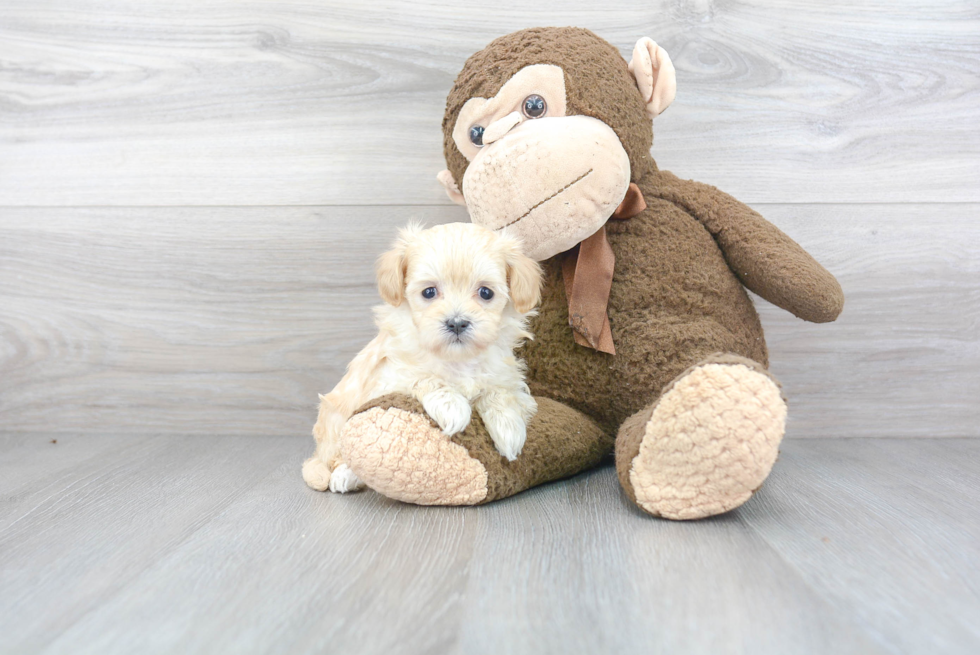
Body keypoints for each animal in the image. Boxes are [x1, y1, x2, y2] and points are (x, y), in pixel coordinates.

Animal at [300, 220, 540, 492]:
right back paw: (345, 475)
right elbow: (425, 377)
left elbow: (501, 393)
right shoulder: (390, 377)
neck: (457, 359)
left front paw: (509, 428)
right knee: (341, 456)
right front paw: (452, 407)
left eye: (486, 293)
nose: (457, 323)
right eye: (429, 292)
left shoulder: (506, 375)